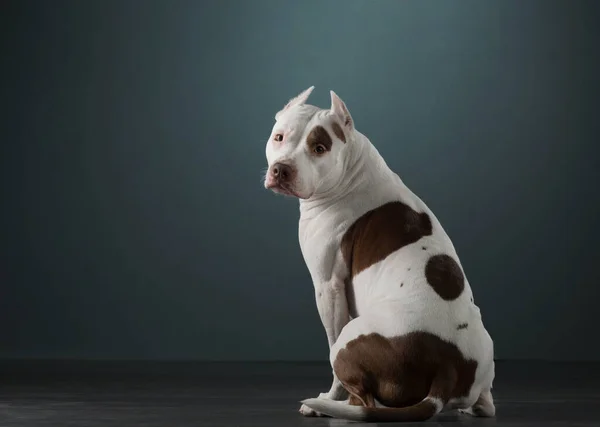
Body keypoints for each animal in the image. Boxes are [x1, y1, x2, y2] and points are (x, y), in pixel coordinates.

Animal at [264, 88, 496, 424]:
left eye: (320, 148)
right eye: (279, 137)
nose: (281, 169)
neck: (351, 172)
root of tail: (446, 369)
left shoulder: (328, 287)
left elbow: (331, 338)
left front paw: (329, 396)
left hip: (350, 340)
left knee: (364, 400)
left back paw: (328, 405)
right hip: (485, 351)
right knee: (486, 404)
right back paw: (474, 406)